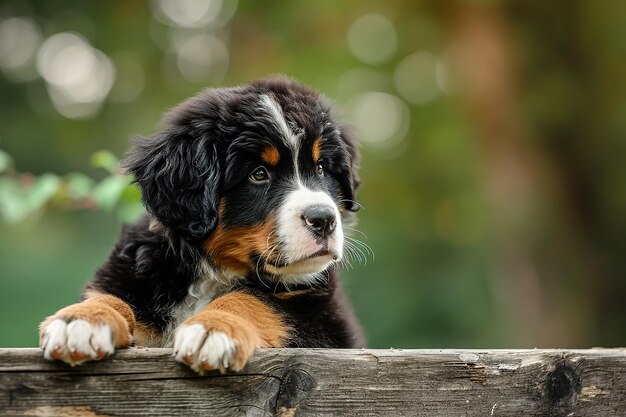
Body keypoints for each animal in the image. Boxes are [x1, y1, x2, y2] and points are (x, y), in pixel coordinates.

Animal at [37, 76, 360, 372]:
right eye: (258, 174)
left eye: (321, 168)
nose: (324, 220)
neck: (212, 271)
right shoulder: (129, 274)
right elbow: (113, 296)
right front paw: (80, 320)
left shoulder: (322, 318)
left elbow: (255, 298)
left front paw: (213, 328)